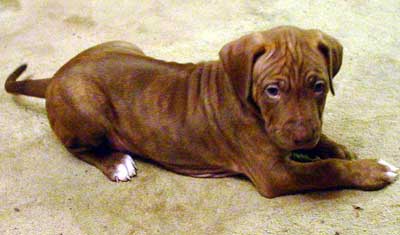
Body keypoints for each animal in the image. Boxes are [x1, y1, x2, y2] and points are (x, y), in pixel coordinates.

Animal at [4, 26, 398, 198]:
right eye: (272, 90)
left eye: (318, 86)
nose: (301, 136)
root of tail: (58, 74)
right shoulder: (276, 175)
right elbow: (324, 170)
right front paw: (369, 170)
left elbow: (324, 147)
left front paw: (333, 146)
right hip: (87, 109)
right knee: (79, 148)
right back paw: (116, 162)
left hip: (127, 45)